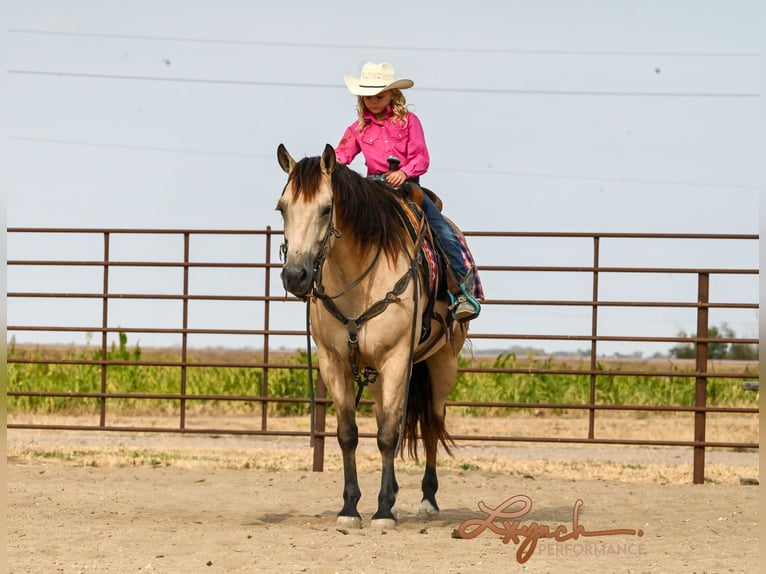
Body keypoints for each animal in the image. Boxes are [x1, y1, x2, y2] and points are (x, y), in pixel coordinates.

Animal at [272, 144, 472, 532]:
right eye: (282, 207)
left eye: (326, 208)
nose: (295, 276)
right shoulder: (333, 362)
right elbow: (350, 434)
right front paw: (351, 508)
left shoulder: (396, 358)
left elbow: (389, 434)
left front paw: (382, 512)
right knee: (387, 418)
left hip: (442, 362)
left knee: (431, 423)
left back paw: (428, 500)